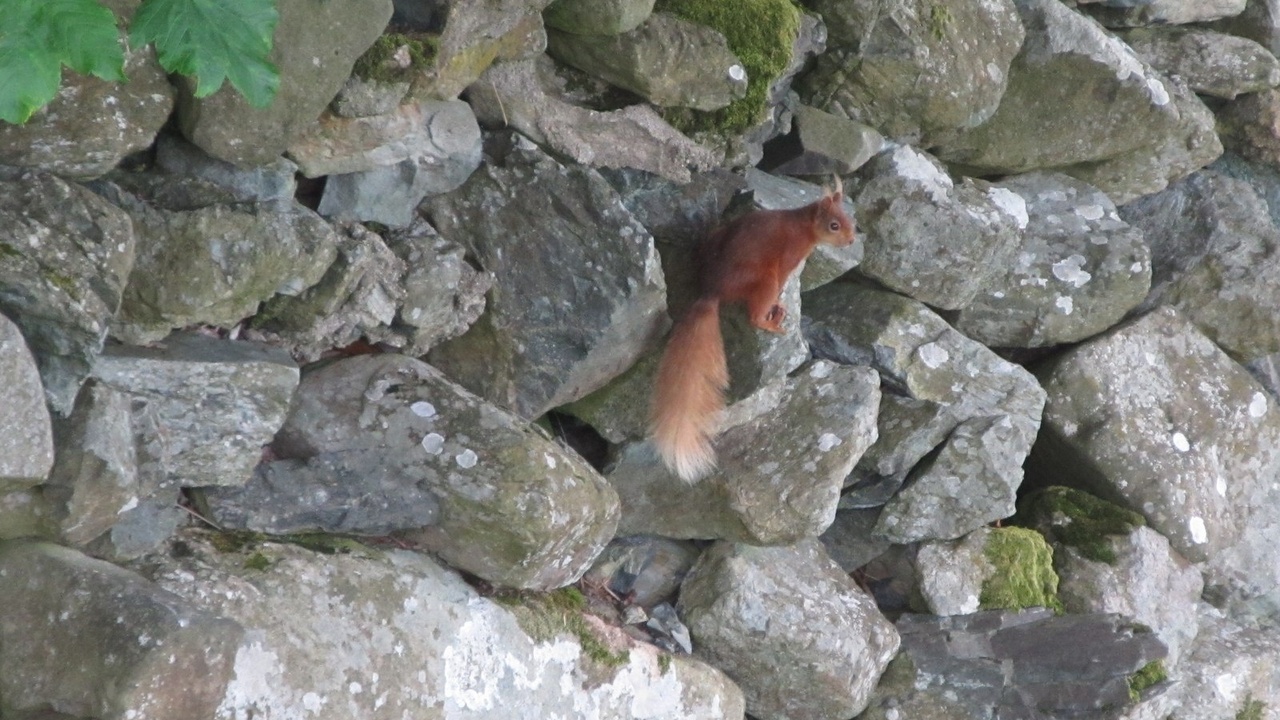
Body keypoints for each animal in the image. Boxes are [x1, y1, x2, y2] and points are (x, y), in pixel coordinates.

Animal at [649, 176, 857, 482]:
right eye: (834, 225)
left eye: (851, 219)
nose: (852, 240)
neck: (803, 226)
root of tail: (713, 289)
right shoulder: (789, 258)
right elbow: (783, 282)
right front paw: (780, 302)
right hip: (764, 280)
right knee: (755, 316)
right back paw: (773, 322)